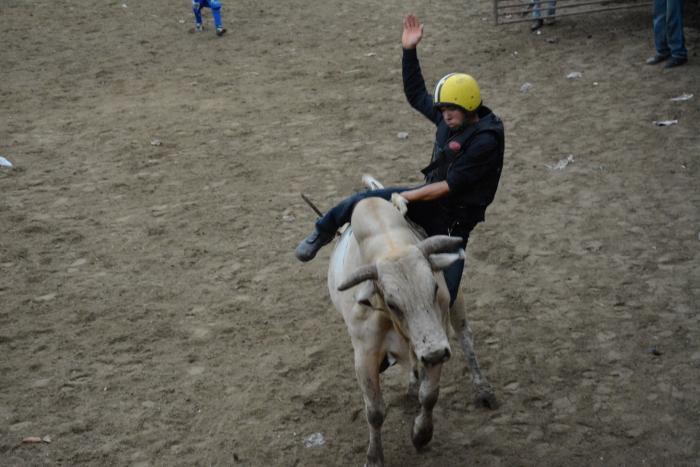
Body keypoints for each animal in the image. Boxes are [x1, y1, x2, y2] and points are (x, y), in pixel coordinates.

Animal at [328, 188, 498, 466]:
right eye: (391, 302)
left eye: (434, 287)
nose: (435, 353)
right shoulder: (365, 355)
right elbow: (374, 411)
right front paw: (374, 457)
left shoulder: (438, 336)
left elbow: (429, 395)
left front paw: (421, 434)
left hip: (457, 304)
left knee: (466, 338)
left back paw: (483, 390)